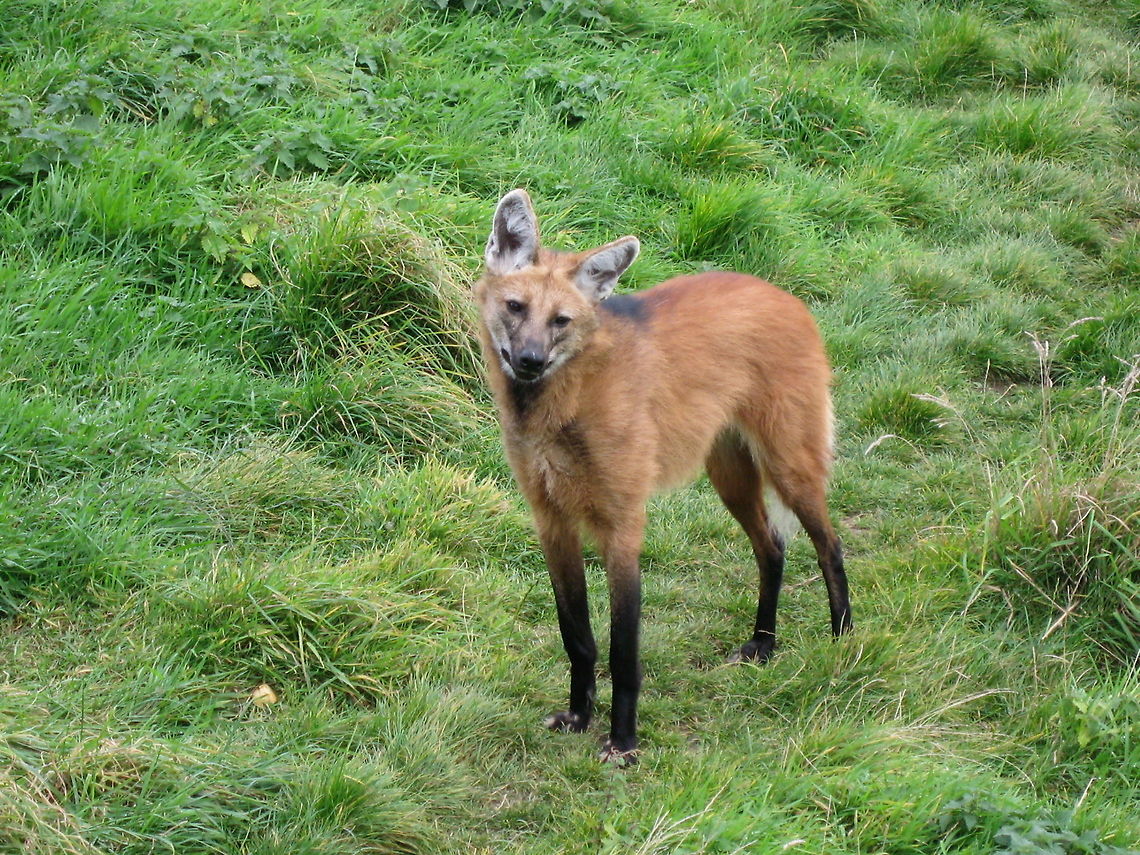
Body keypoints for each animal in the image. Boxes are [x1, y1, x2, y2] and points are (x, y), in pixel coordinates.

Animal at [474, 189, 851, 764]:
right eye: (515, 308)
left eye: (561, 321)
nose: (531, 361)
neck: (563, 407)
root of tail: (783, 294)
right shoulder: (551, 521)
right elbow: (576, 634)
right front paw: (579, 718)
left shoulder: (623, 525)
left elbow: (623, 649)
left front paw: (623, 742)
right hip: (728, 474)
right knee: (772, 547)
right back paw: (763, 643)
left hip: (788, 465)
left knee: (829, 545)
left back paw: (844, 643)